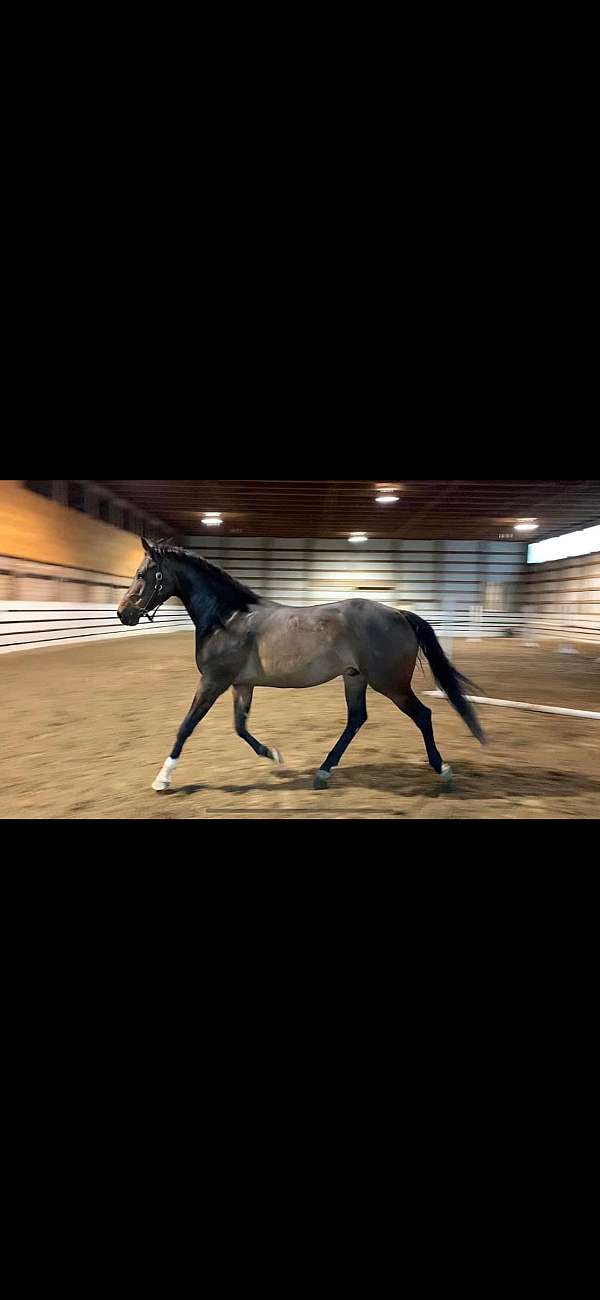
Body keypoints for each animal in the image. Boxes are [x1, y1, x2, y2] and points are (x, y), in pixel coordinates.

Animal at [117, 538, 485, 792]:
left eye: (141, 574)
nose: (123, 614)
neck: (227, 617)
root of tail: (398, 613)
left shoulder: (213, 682)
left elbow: (186, 727)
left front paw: (162, 780)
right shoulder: (241, 684)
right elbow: (240, 727)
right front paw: (274, 756)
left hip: (390, 684)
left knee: (422, 715)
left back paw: (443, 771)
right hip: (355, 678)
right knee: (357, 719)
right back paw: (323, 772)